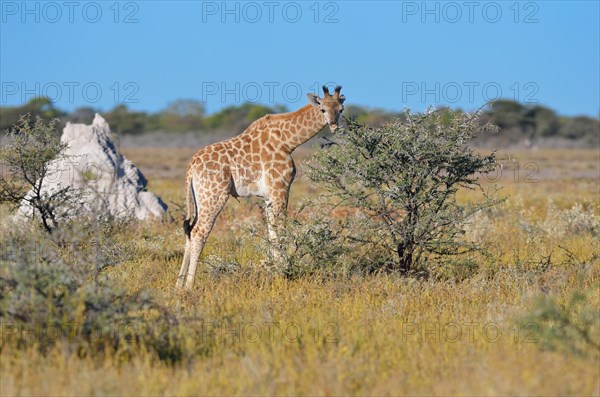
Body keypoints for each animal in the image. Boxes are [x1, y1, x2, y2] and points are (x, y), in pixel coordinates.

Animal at [175, 85, 346, 288]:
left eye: (341, 109)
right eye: (323, 110)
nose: (334, 126)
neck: (288, 141)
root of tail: (191, 167)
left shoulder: (268, 196)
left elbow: (272, 232)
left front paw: (275, 270)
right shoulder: (280, 188)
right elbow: (280, 230)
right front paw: (284, 271)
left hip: (199, 198)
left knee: (189, 230)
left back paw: (178, 285)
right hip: (214, 195)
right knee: (199, 232)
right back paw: (189, 285)